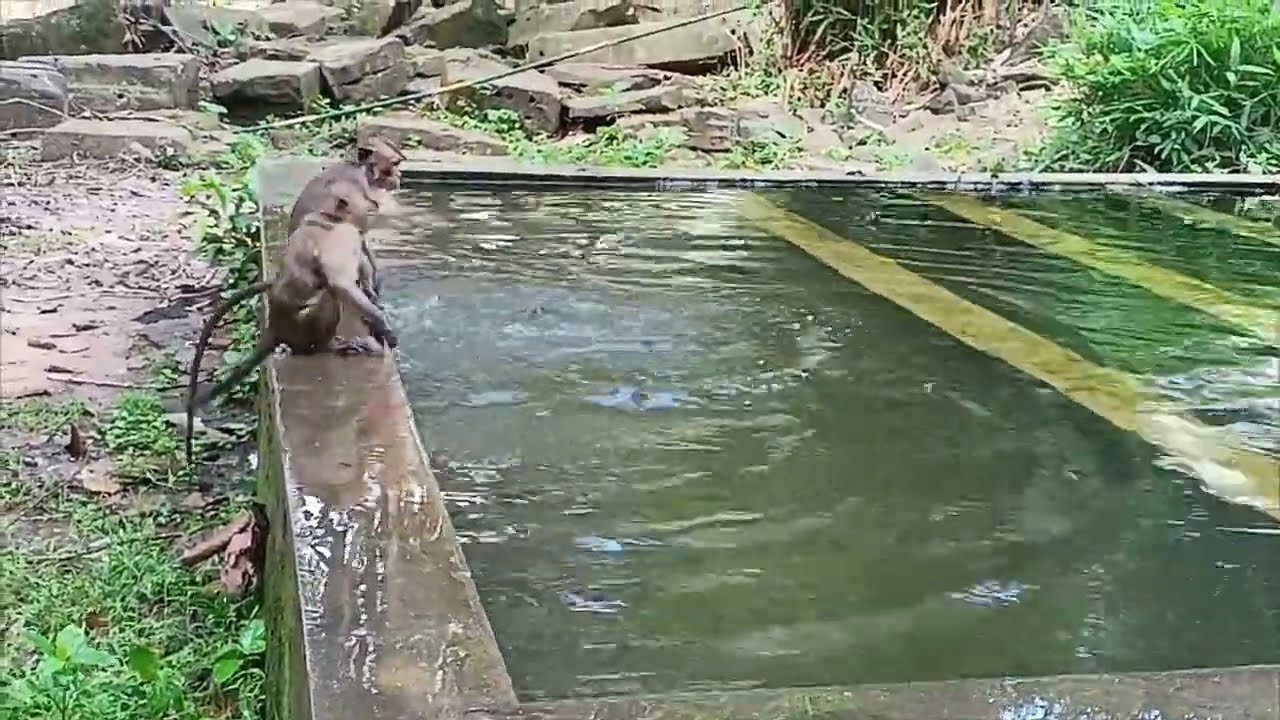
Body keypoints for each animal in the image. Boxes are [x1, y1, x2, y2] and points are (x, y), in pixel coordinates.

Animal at [185, 180, 399, 472]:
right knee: (328, 296)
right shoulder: (343, 237)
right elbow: (340, 282)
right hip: (304, 326)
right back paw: (328, 346)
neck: (328, 218)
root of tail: (276, 326)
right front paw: (383, 326)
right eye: (366, 200)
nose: (374, 205)